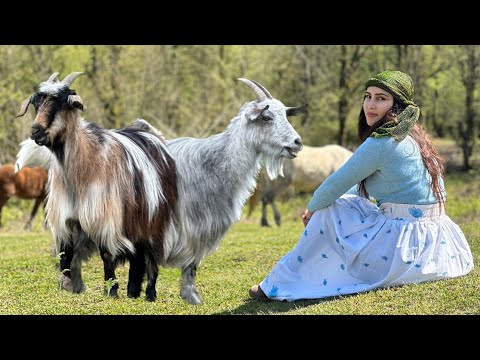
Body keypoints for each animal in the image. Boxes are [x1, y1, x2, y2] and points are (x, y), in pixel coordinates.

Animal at [16, 71, 179, 300]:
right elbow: (65, 255)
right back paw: (133, 292)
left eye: (61, 103)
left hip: (154, 218)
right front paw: (68, 287)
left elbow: (107, 255)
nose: (36, 131)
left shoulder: (104, 217)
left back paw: (150, 294)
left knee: (151, 257)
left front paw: (111, 291)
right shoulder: (66, 219)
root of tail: (151, 133)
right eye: (36, 103)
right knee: (137, 258)